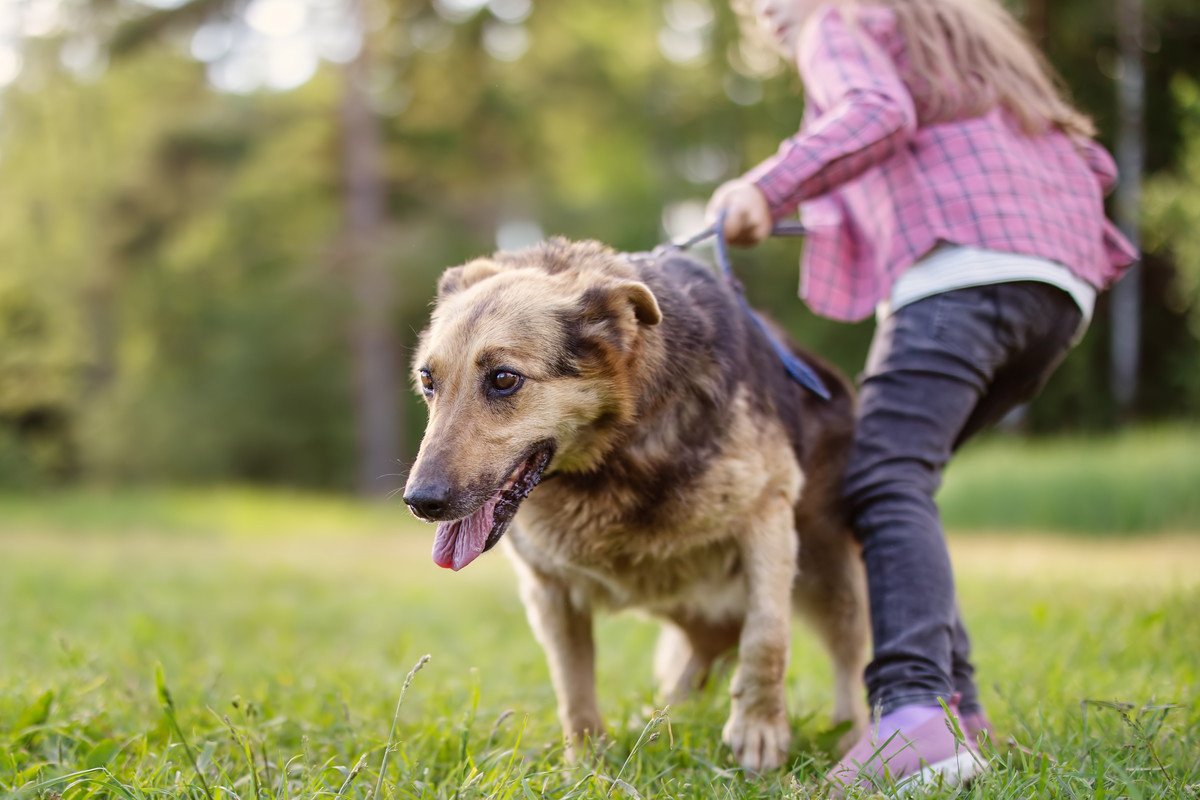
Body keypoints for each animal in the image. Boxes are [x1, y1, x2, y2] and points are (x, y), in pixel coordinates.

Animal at [400, 237, 864, 767]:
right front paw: (585, 764)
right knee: (701, 660)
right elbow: (573, 686)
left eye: (503, 379)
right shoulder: (548, 591)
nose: (420, 501)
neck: (615, 453)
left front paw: (759, 730)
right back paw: (666, 720)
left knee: (847, 660)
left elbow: (767, 637)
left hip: (828, 576)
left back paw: (855, 738)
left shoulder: (767, 516)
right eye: (428, 380)